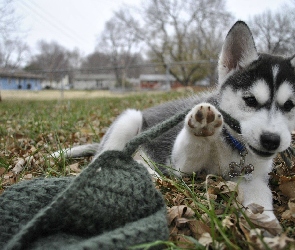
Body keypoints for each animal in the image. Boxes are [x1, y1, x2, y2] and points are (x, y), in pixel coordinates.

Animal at [56, 22, 295, 223]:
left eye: (290, 105)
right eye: (250, 100)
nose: (271, 140)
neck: (233, 145)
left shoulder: (254, 177)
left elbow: (261, 197)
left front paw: (268, 227)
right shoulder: (181, 167)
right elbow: (191, 150)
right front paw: (201, 128)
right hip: (130, 120)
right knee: (103, 159)